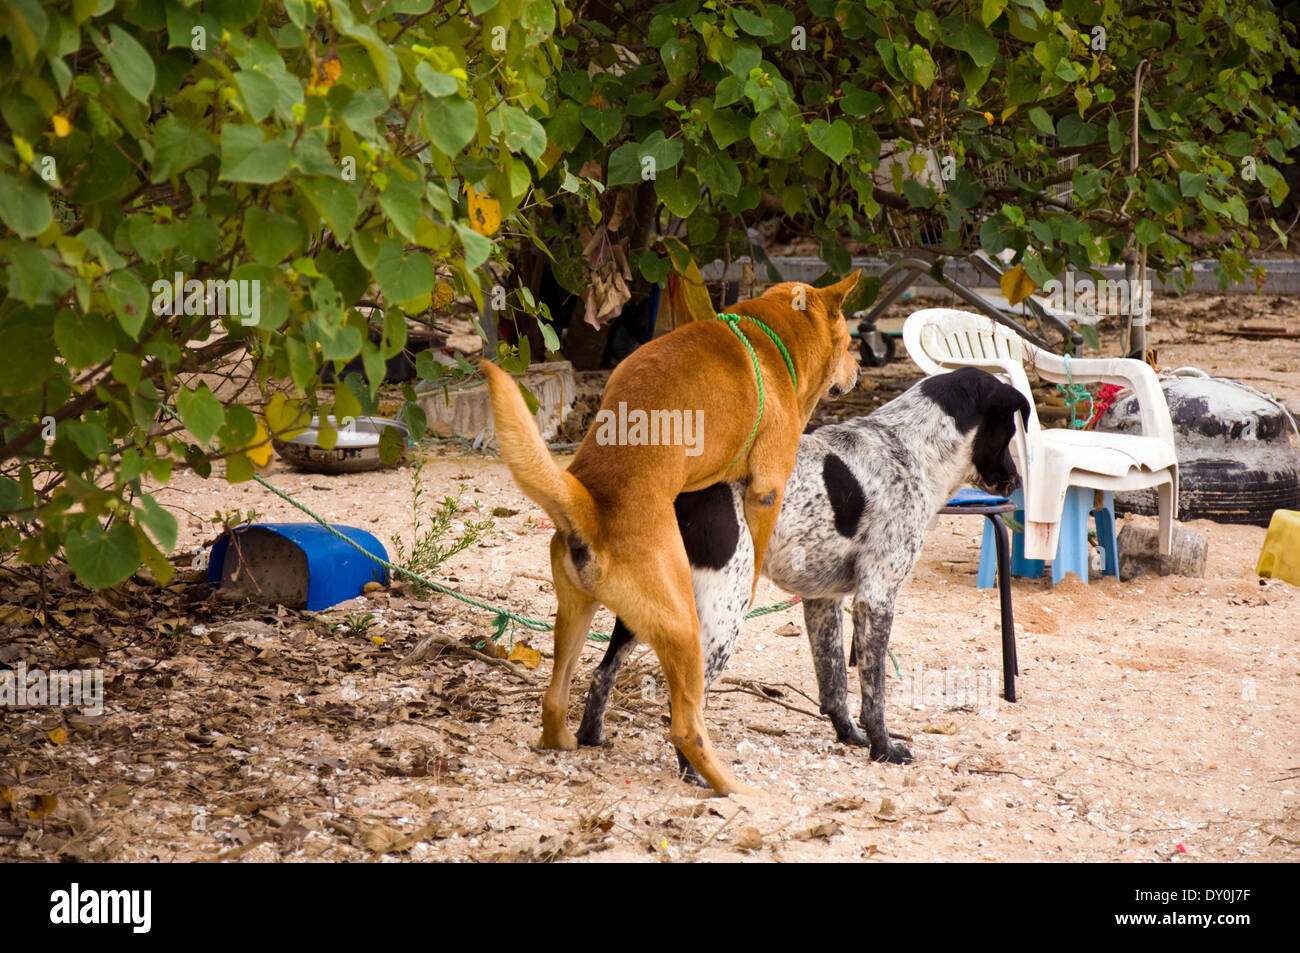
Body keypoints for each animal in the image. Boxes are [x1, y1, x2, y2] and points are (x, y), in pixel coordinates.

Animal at [483, 276, 857, 795]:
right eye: (850, 342)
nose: (858, 370)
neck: (770, 334)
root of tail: (592, 506)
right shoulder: (768, 489)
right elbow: (757, 546)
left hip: (575, 615)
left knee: (556, 697)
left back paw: (566, 741)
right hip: (685, 630)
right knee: (685, 728)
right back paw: (731, 788)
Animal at [577, 366, 1024, 780]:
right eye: (1009, 434)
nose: (1017, 481)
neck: (908, 447)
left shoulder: (823, 600)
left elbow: (834, 683)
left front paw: (849, 737)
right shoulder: (877, 598)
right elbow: (873, 692)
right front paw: (883, 749)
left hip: (656, 604)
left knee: (603, 673)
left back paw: (589, 737)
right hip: (724, 616)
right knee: (683, 705)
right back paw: (695, 774)